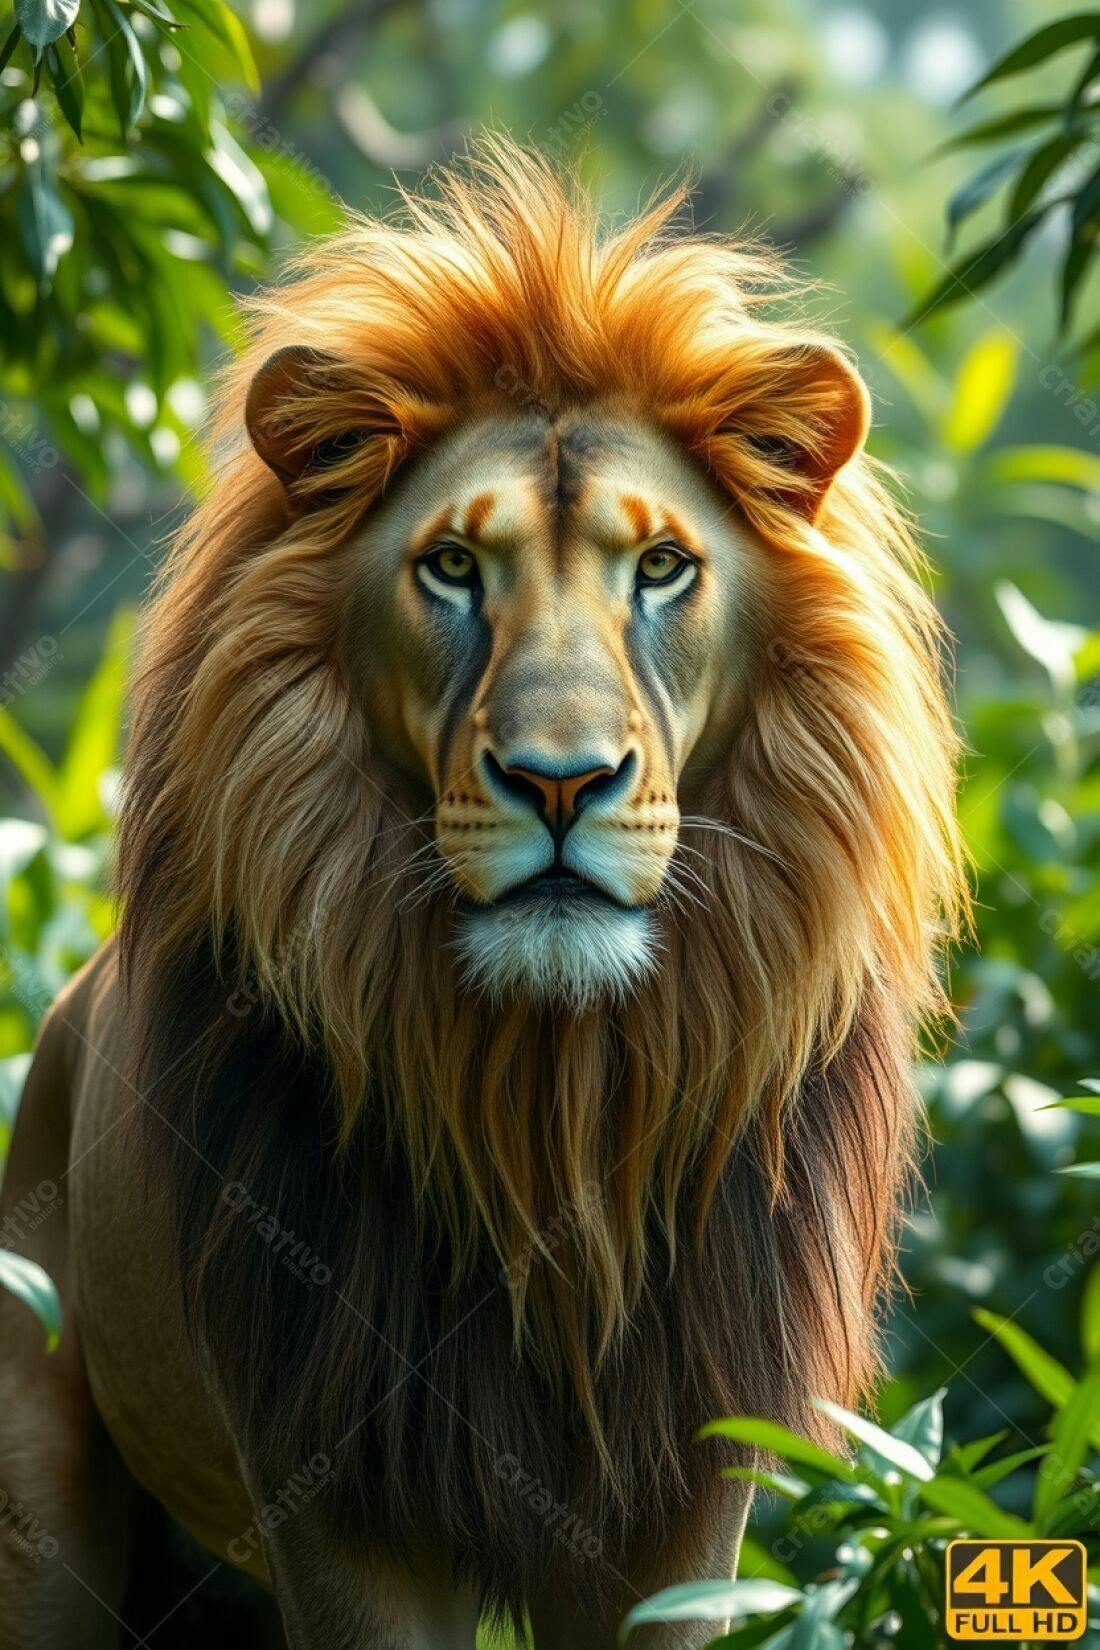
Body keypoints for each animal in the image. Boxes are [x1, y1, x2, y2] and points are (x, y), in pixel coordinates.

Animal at [0, 141, 964, 1649]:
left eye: (662, 567)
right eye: (452, 566)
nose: (560, 781)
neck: (547, 1099)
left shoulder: (687, 1476)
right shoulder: (338, 1473)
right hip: (43, 1503)